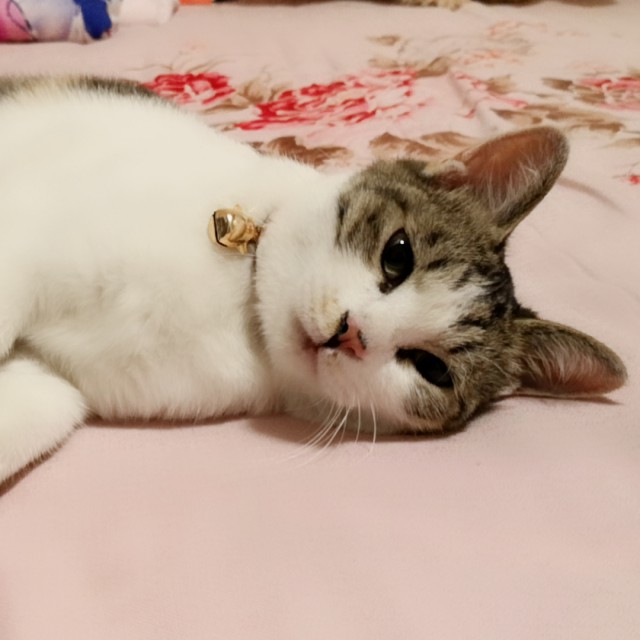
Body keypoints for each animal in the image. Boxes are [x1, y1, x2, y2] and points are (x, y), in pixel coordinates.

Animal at [0, 76, 626, 483]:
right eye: (398, 254)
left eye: (432, 369)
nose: (352, 333)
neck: (240, 312)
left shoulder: (67, 381)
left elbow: (39, 408)